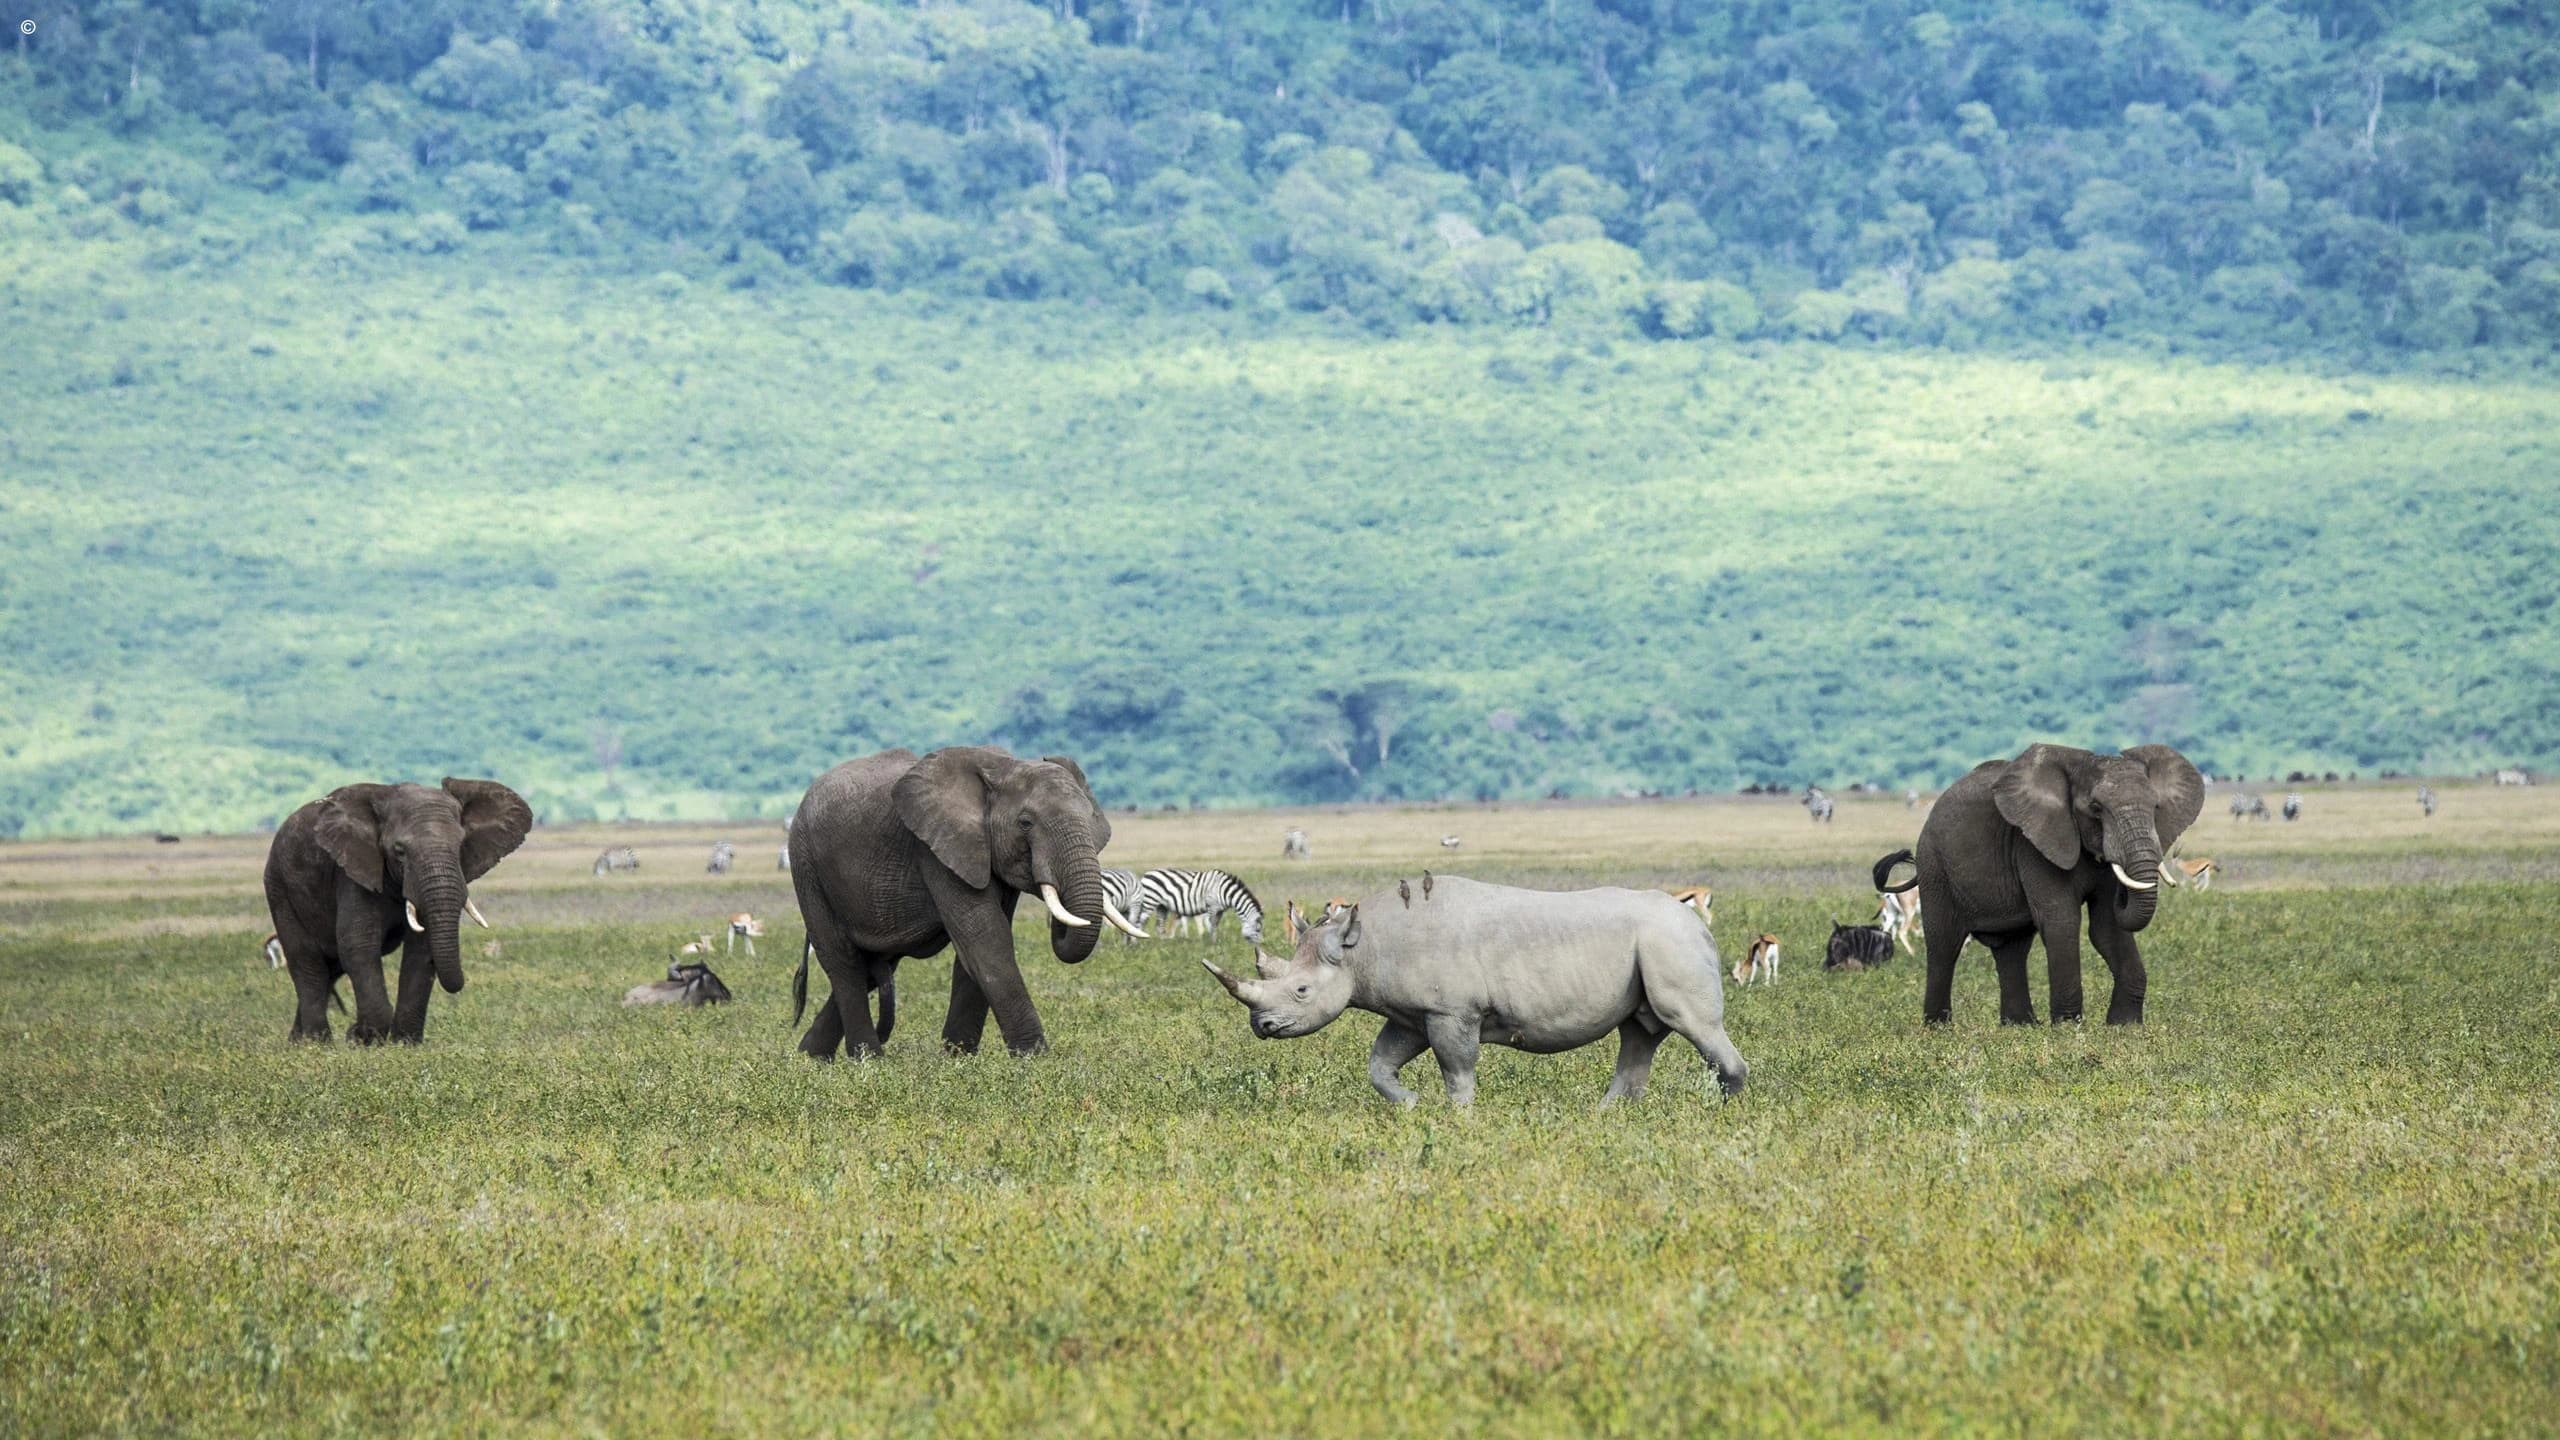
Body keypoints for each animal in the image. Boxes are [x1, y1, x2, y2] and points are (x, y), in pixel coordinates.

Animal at [262, 779, 532, 1043]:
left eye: (460, 846)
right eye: (400, 851)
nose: (352, 1029)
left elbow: (421, 951)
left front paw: (404, 1042)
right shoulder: (352, 873)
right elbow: (359, 944)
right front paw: (363, 1039)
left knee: (330, 968)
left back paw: (297, 1042)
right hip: (279, 887)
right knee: (307, 962)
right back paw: (316, 1043)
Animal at [786, 746, 1147, 1060]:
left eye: (1090, 817)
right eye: (1025, 823)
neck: (1004, 767)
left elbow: (975, 951)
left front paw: (958, 1059)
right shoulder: (935, 849)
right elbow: (985, 942)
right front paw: (1035, 1059)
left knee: (873, 967)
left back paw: (809, 1059)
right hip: (806, 866)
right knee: (843, 962)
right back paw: (867, 1060)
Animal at [1133, 868, 1264, 944]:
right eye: (1258, 929)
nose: (1262, 944)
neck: (1226, 892)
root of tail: (1146, 874)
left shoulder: (1220, 910)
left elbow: (1216, 924)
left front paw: (1216, 941)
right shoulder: (1212, 906)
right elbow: (1212, 924)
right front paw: (1213, 943)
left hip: (1161, 906)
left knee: (1159, 925)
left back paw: (1162, 944)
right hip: (1150, 901)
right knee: (1140, 921)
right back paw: (1138, 943)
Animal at [1201, 875, 1747, 1107]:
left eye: (1300, 990)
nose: (1261, 1026)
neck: (1360, 950)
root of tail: (1698, 926)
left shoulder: (1451, 1011)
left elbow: (1457, 1070)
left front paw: (1459, 1117)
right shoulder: (1412, 1013)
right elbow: (1380, 1063)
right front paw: (1410, 1103)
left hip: (1670, 941)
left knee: (1691, 1023)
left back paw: (1721, 1111)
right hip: (1656, 944)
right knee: (1639, 1033)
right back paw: (1607, 1116)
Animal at [1877, 743, 2202, 1027]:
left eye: (2156, 806)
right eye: (2096, 808)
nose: (2123, 895)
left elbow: (2107, 928)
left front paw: (2125, 1026)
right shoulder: (2032, 844)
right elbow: (2062, 922)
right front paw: (2069, 1029)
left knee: (2012, 948)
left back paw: (2020, 1027)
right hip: (1935, 867)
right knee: (1944, 945)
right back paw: (1939, 1029)